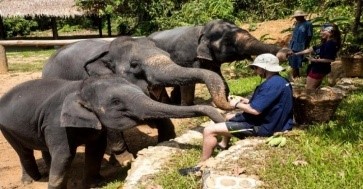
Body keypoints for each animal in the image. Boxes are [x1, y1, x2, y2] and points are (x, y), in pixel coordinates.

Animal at [0, 75, 226, 189]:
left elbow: (96, 149)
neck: (79, 87)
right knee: (24, 152)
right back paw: (31, 181)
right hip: (6, 128)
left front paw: (96, 183)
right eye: (116, 102)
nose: (223, 144)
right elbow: (64, 155)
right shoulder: (56, 123)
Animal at [148, 19, 292, 106]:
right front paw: (188, 106)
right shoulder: (186, 58)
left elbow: (218, 76)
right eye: (228, 42)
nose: (287, 52)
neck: (202, 30)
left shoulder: (212, 61)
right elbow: (188, 82)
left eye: (246, 31)